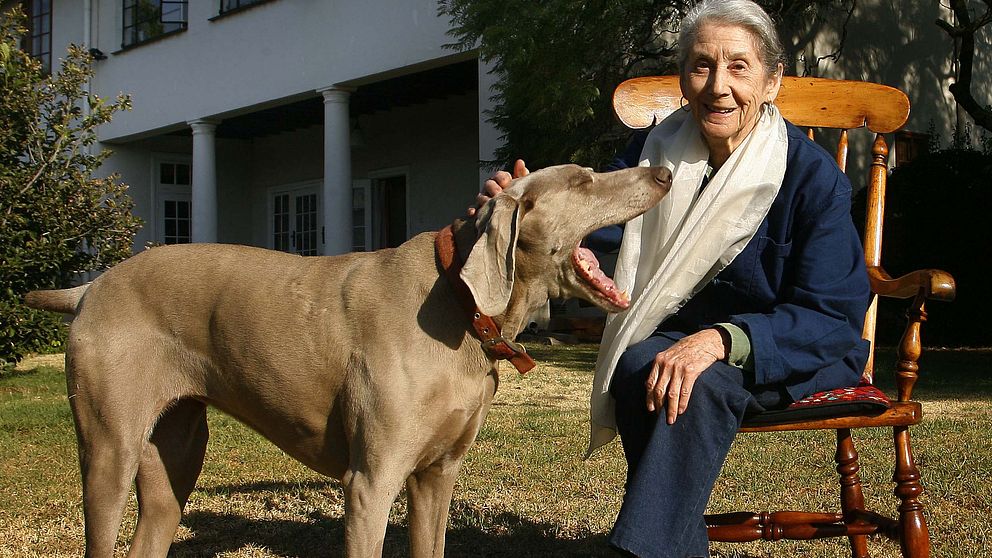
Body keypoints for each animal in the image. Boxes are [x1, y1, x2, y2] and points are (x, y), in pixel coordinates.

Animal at [25, 165, 676, 558]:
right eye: (584, 180)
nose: (663, 170)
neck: (462, 307)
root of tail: (91, 287)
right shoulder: (369, 483)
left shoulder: (436, 475)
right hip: (109, 446)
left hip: (175, 453)